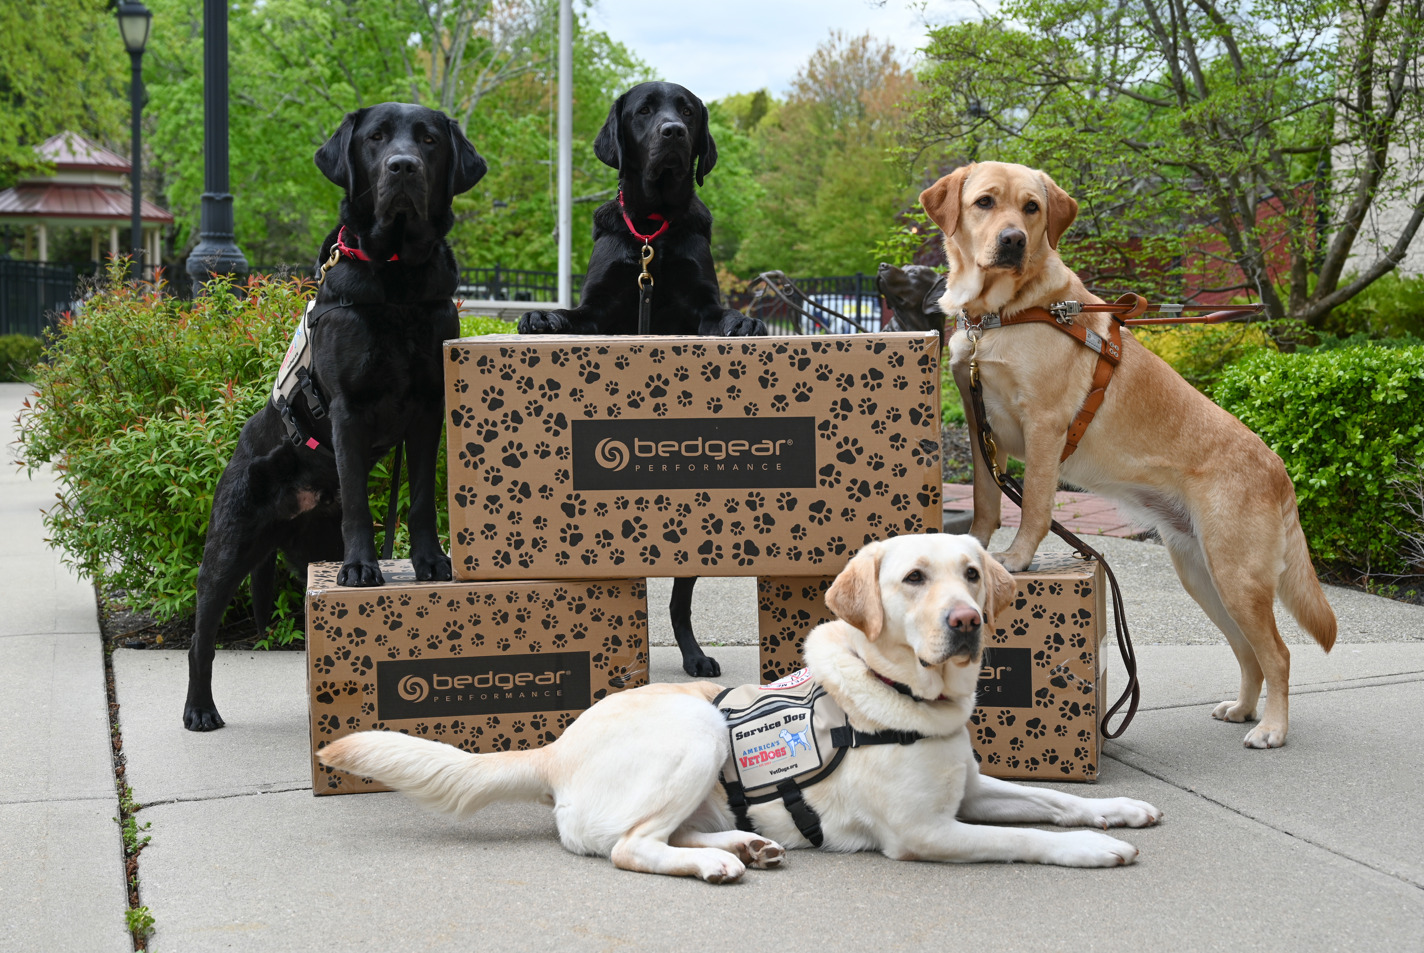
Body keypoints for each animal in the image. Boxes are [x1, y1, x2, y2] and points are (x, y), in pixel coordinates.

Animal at [186, 102, 487, 729]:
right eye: (377, 138)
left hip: (303, 551)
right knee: (202, 637)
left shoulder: (428, 408)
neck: (396, 278)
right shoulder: (348, 408)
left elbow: (419, 499)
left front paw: (428, 561)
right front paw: (361, 570)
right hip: (227, 546)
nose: (402, 166)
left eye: (429, 140)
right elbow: (357, 502)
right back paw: (199, 709)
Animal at [524, 83, 768, 675]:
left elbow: (720, 315)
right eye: (644, 111)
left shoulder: (701, 303)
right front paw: (542, 317)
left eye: (687, 111)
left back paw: (695, 654)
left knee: (680, 600)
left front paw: (745, 321)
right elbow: (571, 316)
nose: (673, 132)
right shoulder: (597, 309)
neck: (652, 230)